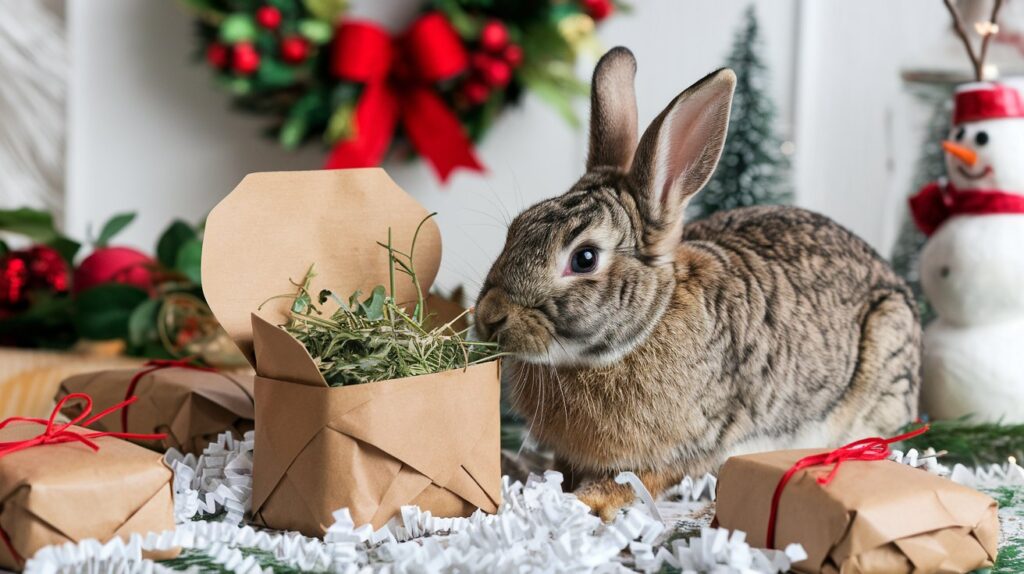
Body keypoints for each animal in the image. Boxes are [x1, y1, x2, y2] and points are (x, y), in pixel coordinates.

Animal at [475, 47, 925, 517]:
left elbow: (638, 480)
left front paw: (586, 500)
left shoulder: (687, 447)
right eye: (517, 227)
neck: (644, 328)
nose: (489, 317)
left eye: (584, 258)